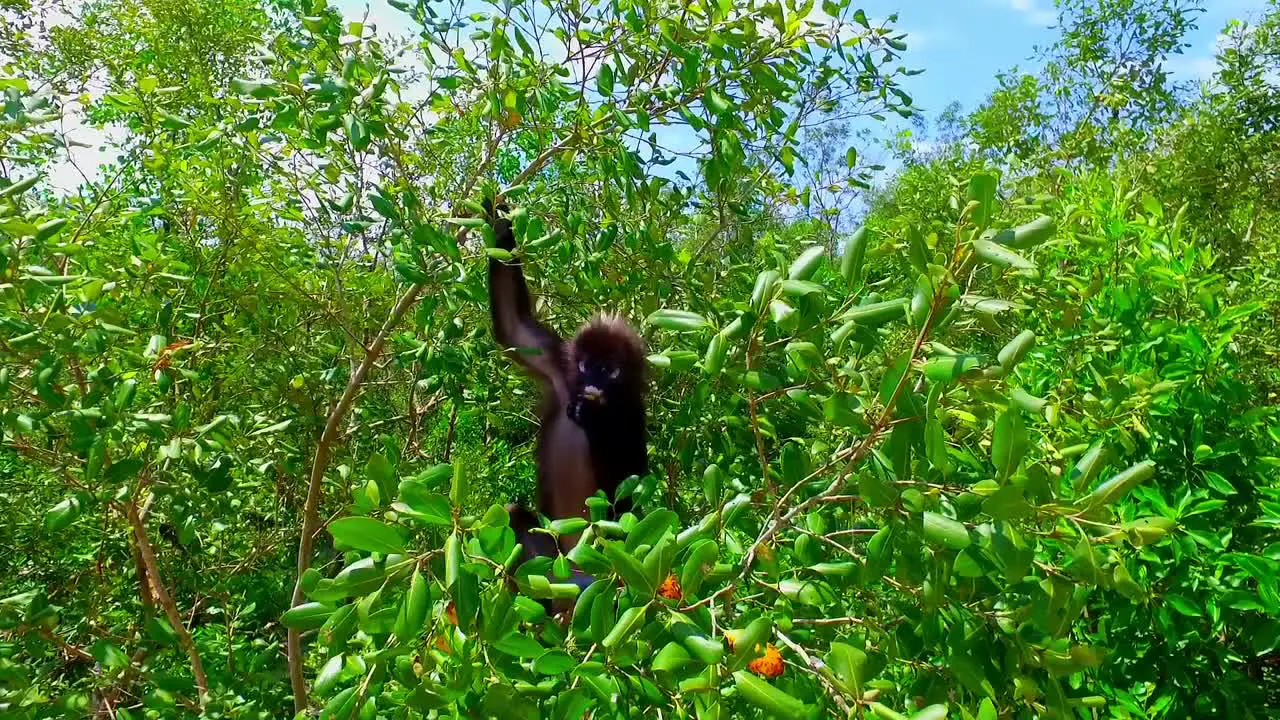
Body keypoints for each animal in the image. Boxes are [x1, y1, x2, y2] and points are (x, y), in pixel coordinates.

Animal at [486, 197, 650, 561]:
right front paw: (501, 225)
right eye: (587, 365)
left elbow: (627, 490)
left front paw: (594, 417)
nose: (593, 384)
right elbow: (514, 325)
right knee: (514, 516)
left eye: (611, 370)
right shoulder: (559, 366)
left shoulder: (635, 414)